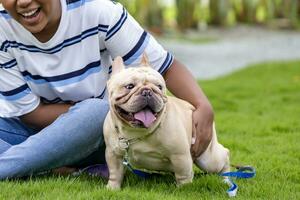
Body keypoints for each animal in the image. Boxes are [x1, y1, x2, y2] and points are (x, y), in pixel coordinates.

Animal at [103, 55, 230, 189]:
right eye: (129, 86)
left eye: (159, 87)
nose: (147, 91)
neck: (135, 132)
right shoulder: (113, 154)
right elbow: (115, 173)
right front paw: (112, 188)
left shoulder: (180, 156)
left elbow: (183, 175)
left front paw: (184, 189)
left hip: (207, 158)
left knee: (224, 155)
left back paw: (226, 179)